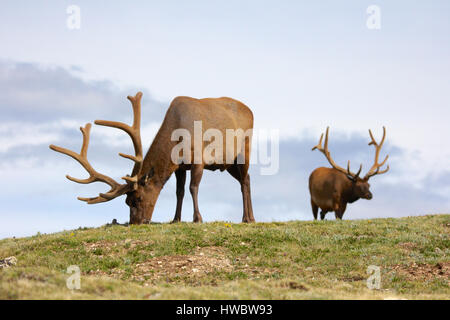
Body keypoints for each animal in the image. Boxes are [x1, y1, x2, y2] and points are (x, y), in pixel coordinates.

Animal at [49, 91, 255, 224]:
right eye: (126, 202)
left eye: (137, 198)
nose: (136, 222)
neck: (178, 138)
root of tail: (250, 110)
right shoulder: (180, 166)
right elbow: (179, 191)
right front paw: (176, 219)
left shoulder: (198, 158)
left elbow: (193, 188)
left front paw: (197, 218)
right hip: (229, 163)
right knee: (247, 178)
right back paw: (251, 217)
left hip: (244, 149)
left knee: (245, 180)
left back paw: (247, 218)